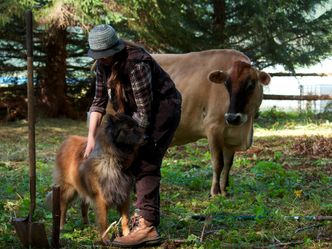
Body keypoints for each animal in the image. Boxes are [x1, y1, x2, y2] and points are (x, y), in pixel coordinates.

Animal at [47, 114, 144, 244]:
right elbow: (104, 221)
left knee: (83, 206)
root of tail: (67, 140)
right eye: (128, 128)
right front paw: (105, 239)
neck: (113, 158)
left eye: (137, 125)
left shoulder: (124, 195)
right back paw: (61, 227)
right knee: (63, 207)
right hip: (68, 189)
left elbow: (125, 219)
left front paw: (128, 235)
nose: (147, 137)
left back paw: (87, 225)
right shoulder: (100, 198)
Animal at [152, 48, 272, 196]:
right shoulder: (213, 128)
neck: (244, 129)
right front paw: (215, 192)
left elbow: (228, 164)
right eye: (226, 85)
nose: (232, 117)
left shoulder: (230, 138)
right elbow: (218, 163)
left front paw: (225, 190)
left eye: (251, 85)